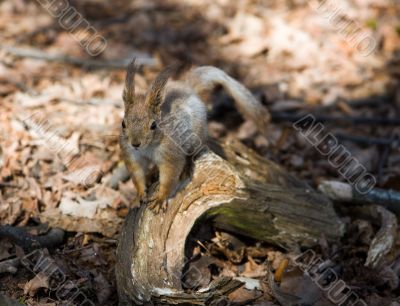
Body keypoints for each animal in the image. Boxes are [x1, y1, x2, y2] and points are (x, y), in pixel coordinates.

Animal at [119, 59, 268, 213]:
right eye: (123, 123)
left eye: (153, 125)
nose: (135, 143)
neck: (148, 148)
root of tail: (190, 90)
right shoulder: (131, 154)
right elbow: (137, 176)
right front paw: (138, 196)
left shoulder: (171, 154)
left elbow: (169, 178)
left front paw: (160, 199)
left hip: (196, 137)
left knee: (192, 153)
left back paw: (186, 166)